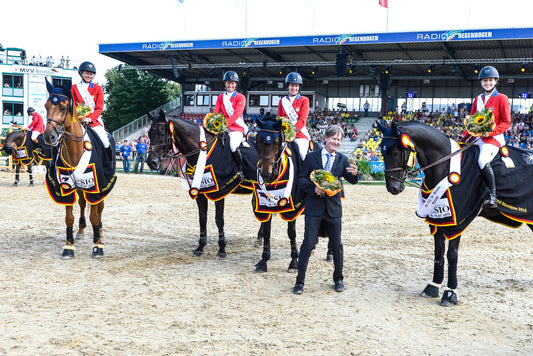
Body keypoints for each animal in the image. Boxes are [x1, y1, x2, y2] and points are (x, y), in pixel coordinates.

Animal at [42, 80, 116, 258]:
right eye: (46, 105)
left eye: (63, 107)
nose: (49, 137)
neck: (75, 150)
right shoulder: (65, 188)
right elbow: (69, 218)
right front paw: (68, 247)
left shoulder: (96, 186)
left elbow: (94, 216)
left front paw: (97, 246)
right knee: (82, 203)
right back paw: (81, 231)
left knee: (99, 207)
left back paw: (100, 233)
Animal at [376, 119, 528, 306]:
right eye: (382, 151)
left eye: (396, 151)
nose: (393, 188)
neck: (445, 166)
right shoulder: (438, 219)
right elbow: (438, 252)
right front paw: (433, 287)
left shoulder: (457, 221)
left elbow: (452, 255)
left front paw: (450, 293)